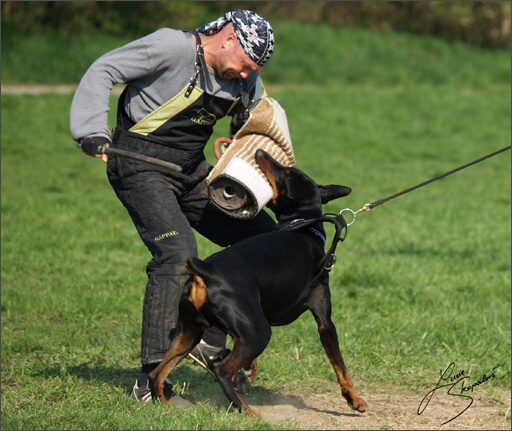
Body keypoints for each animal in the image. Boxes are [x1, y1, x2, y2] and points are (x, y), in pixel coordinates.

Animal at [148, 149, 368, 418]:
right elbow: (340, 365)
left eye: (285, 172)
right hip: (258, 332)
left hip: (190, 331)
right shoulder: (324, 321)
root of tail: (205, 271)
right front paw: (355, 400)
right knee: (222, 371)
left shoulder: (245, 324)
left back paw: (168, 407)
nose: (260, 152)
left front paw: (249, 372)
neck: (303, 227)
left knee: (156, 374)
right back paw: (248, 412)